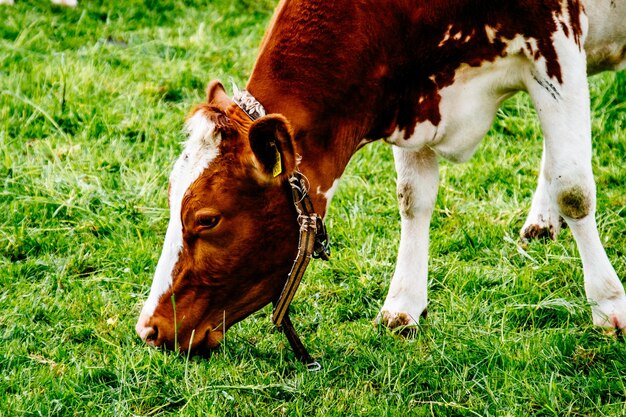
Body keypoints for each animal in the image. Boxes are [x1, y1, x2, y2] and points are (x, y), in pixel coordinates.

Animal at [134, 0, 620, 356]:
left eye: (208, 219)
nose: (148, 329)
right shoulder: (413, 96)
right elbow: (412, 197)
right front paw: (403, 305)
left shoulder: (556, 47)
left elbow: (575, 189)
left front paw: (608, 305)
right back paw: (542, 219)